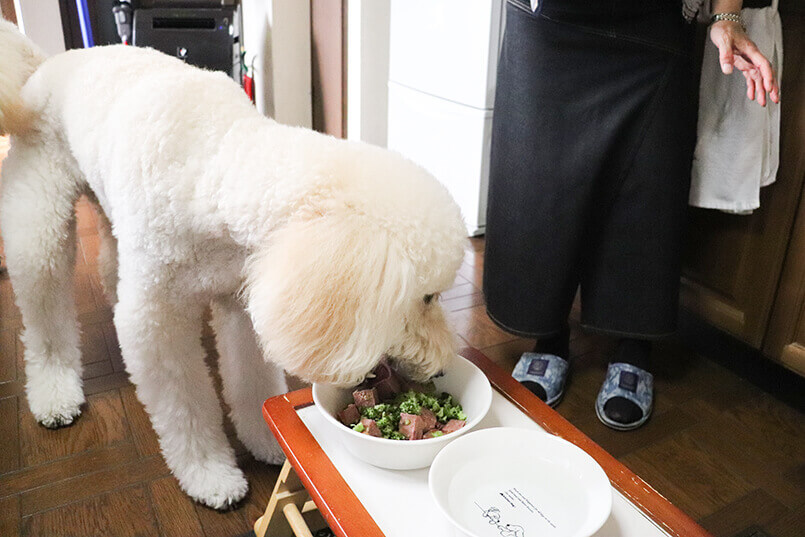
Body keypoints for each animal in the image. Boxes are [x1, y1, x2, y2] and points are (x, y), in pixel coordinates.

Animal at [0, 21, 468, 506]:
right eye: (427, 296)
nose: (441, 368)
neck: (214, 166)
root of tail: (44, 64)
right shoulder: (157, 325)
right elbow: (186, 408)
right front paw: (209, 474)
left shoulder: (240, 302)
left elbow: (251, 381)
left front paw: (267, 439)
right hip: (38, 226)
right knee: (45, 317)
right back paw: (54, 394)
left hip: (107, 209)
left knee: (111, 263)